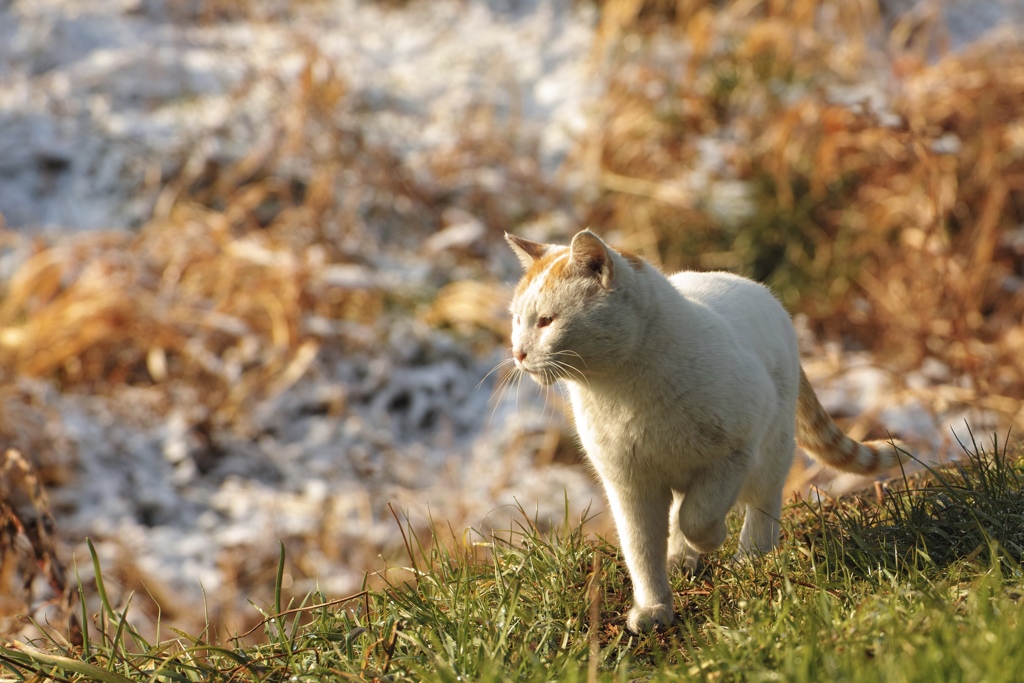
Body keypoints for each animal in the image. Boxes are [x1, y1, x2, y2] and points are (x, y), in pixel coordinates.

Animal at [503, 229, 905, 634]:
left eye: (546, 321)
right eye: (517, 320)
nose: (518, 353)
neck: (620, 390)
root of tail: (761, 292)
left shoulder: (733, 455)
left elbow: (698, 517)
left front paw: (714, 542)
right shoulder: (629, 486)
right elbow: (642, 550)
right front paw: (654, 608)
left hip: (770, 453)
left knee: (762, 503)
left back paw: (751, 557)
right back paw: (681, 559)